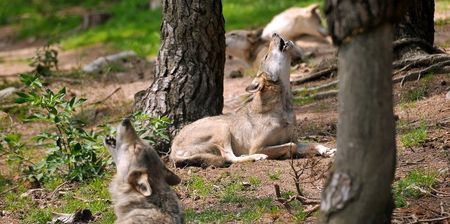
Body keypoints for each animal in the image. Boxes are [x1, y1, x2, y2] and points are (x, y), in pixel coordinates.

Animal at [171, 32, 336, 166]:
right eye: (266, 56)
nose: (274, 33)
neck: (283, 106)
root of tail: (172, 148)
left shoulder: (295, 138)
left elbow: (312, 144)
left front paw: (327, 150)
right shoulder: (257, 146)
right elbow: (291, 146)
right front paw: (285, 154)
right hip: (222, 128)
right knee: (229, 157)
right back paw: (256, 157)